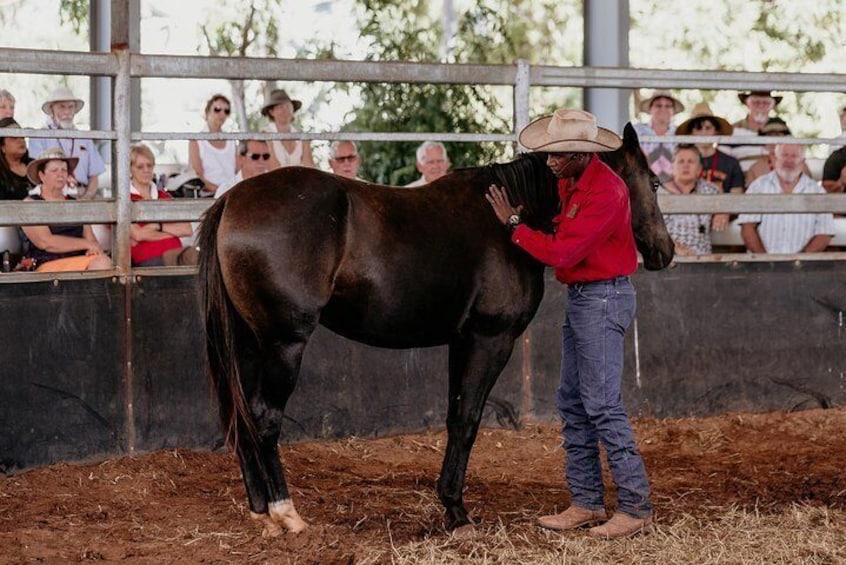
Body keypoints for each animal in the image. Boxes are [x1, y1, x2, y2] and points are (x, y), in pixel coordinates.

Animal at [197, 123, 676, 536]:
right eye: (654, 183)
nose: (664, 250)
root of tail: (233, 200)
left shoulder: (460, 341)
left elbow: (454, 414)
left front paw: (449, 505)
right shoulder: (490, 339)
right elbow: (467, 420)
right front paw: (457, 511)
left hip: (248, 343)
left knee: (241, 415)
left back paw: (261, 512)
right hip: (284, 343)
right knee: (265, 418)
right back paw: (286, 514)